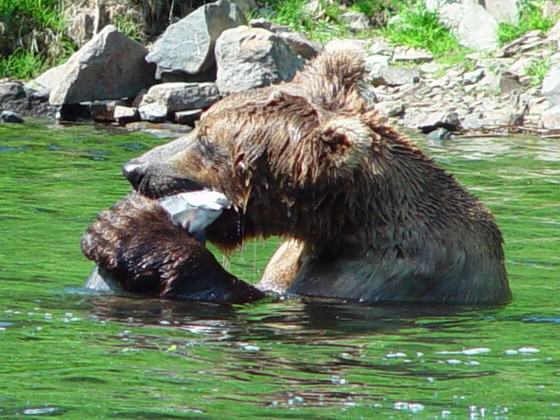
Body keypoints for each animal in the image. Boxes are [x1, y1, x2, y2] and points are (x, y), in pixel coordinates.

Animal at [82, 50, 512, 306]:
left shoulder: (379, 277)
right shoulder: (292, 259)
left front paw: (126, 226)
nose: (134, 170)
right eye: (200, 125)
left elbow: (251, 294)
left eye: (207, 141)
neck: (339, 224)